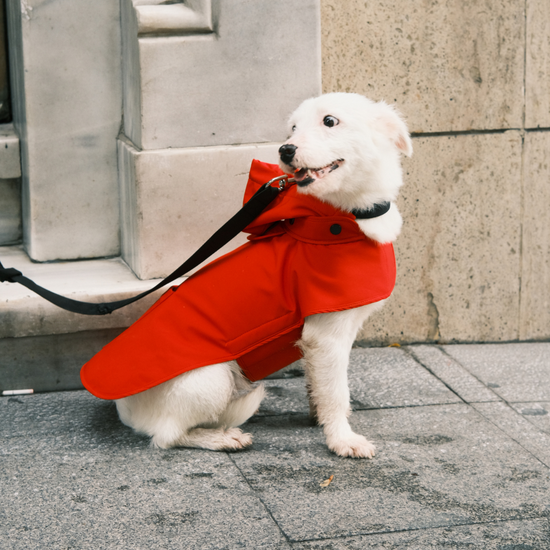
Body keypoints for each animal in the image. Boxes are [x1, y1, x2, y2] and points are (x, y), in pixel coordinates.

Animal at [114, 92, 412, 460]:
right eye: (293, 127)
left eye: (329, 121)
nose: (285, 150)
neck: (344, 218)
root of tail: (128, 410)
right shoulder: (327, 335)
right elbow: (336, 392)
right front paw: (342, 439)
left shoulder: (321, 339)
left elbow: (320, 386)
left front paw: (320, 419)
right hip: (212, 379)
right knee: (167, 435)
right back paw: (220, 437)